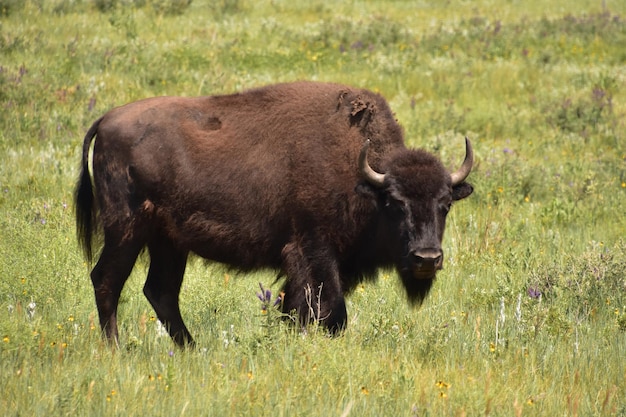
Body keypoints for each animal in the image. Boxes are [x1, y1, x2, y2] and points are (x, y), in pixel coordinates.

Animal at [74, 80, 472, 344]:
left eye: (445, 204)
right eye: (394, 203)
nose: (426, 258)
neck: (361, 175)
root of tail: (105, 120)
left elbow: (294, 307)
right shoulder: (315, 249)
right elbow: (329, 309)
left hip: (169, 242)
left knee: (161, 291)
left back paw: (191, 349)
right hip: (126, 230)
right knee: (107, 280)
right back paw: (117, 349)